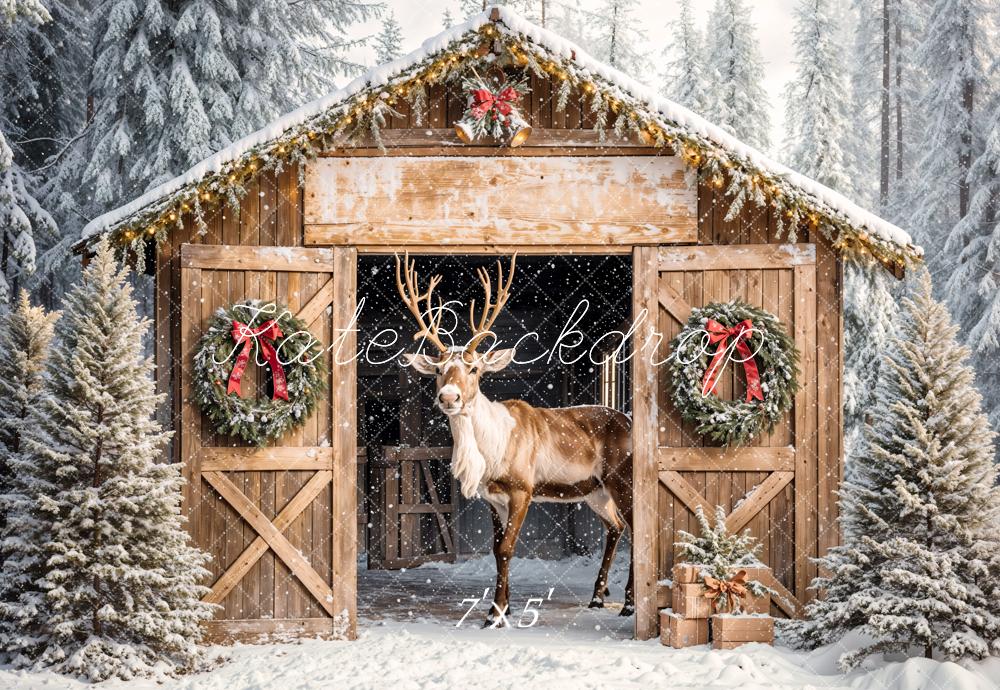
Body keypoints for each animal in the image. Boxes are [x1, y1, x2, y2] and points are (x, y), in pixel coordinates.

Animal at [394, 253, 634, 627]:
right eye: (437, 370)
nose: (449, 397)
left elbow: (507, 548)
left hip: (623, 479)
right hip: (595, 490)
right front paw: (504, 608)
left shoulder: (523, 488)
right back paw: (597, 597)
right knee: (616, 526)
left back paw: (629, 604)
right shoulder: (493, 498)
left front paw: (494, 614)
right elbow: (496, 549)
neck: (490, 455)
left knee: (639, 527)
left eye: (474, 368)